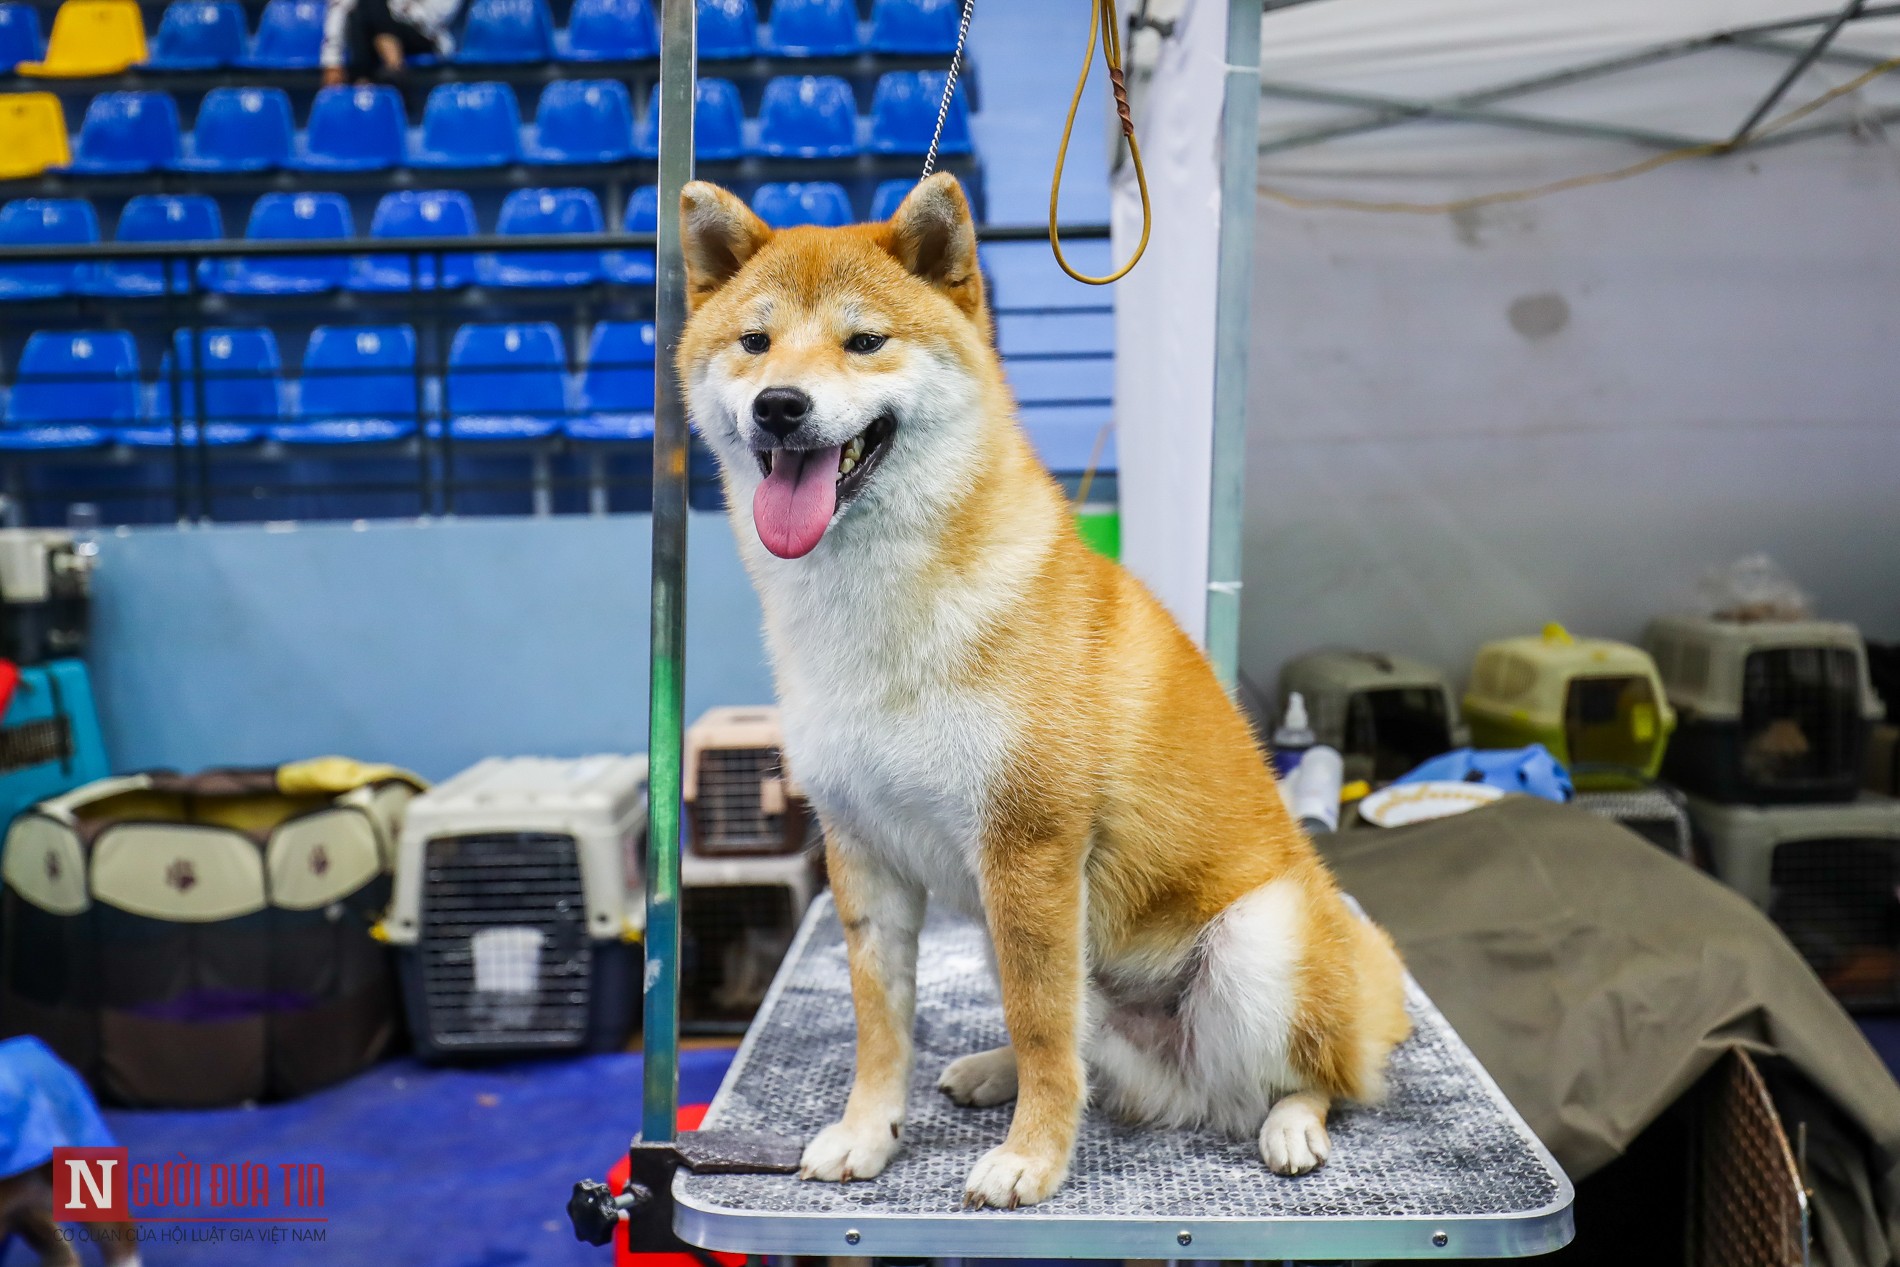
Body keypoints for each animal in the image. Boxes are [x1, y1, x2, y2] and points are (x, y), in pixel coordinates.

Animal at [676, 170, 1406, 1208]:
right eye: (754, 342)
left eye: (865, 342)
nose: (780, 405)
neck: (879, 617)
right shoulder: (863, 853)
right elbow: (881, 1024)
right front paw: (867, 1132)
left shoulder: (1030, 844)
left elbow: (1042, 1026)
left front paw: (1032, 1157)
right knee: (1101, 1055)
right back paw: (993, 1072)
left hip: (1254, 945)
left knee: (1316, 1076)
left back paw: (1291, 1124)